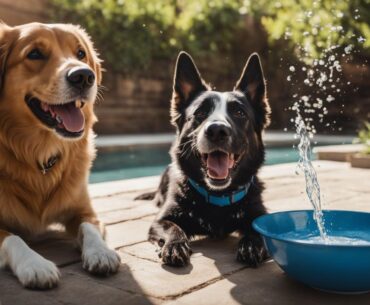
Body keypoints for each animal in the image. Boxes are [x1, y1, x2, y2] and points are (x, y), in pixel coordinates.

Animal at [137, 51, 270, 266]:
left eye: (239, 113)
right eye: (200, 113)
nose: (216, 130)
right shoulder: (160, 220)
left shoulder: (259, 214)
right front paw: (175, 245)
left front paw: (251, 243)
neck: (218, 197)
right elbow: (172, 227)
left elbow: (256, 230)